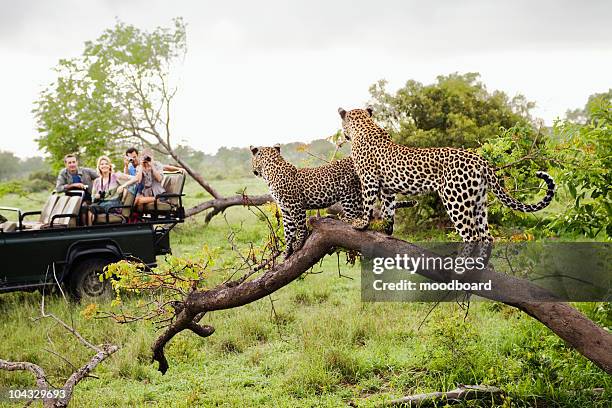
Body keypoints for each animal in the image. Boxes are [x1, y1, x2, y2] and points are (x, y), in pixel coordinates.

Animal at [250, 145, 416, 256]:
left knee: (354, 216)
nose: (253, 171)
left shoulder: (295, 205)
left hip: (349, 193)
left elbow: (299, 226)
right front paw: (286, 252)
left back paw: (340, 219)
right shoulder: (285, 209)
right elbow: (288, 230)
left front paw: (298, 243)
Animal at [338, 107, 556, 244]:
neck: (365, 126)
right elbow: (388, 209)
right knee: (487, 237)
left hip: (456, 200)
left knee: (472, 236)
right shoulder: (388, 188)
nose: (344, 135)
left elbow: (368, 204)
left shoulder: (369, 179)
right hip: (479, 202)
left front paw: (361, 224)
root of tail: (481, 160)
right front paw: (387, 229)